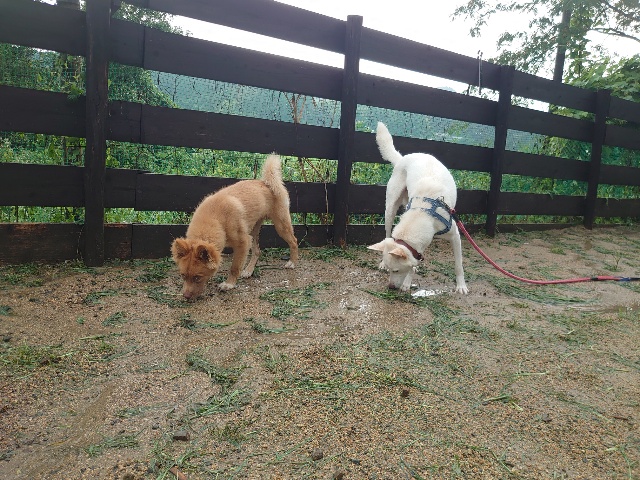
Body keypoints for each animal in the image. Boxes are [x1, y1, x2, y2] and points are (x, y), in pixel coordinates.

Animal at [171, 154, 298, 300]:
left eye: (197, 277)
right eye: (183, 275)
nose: (186, 296)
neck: (215, 219)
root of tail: (266, 183)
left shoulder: (242, 243)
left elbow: (234, 267)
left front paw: (229, 284)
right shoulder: (244, 240)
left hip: (280, 225)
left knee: (293, 241)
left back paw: (292, 262)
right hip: (253, 231)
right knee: (257, 251)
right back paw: (248, 271)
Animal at [368, 122, 468, 294]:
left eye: (396, 270)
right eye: (390, 270)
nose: (390, 287)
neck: (424, 212)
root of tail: (404, 158)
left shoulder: (455, 236)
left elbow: (458, 265)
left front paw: (461, 286)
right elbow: (414, 264)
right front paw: (408, 281)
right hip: (390, 208)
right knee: (387, 233)